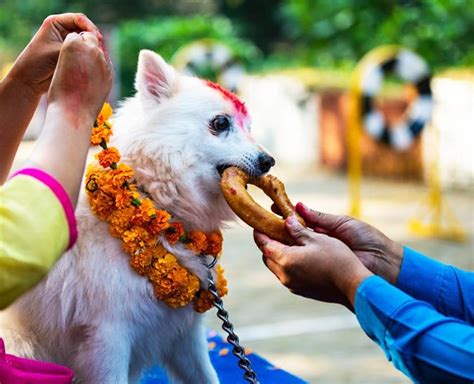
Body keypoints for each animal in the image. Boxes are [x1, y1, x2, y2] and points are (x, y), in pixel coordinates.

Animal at [0, 51, 274, 384]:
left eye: (249, 127)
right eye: (220, 123)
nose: (269, 161)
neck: (156, 202)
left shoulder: (185, 337)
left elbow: (207, 376)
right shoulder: (107, 339)